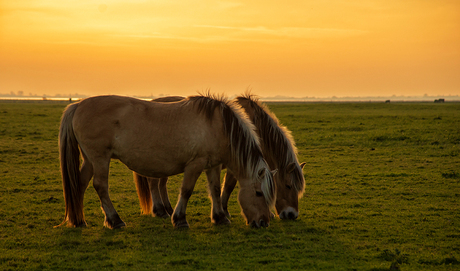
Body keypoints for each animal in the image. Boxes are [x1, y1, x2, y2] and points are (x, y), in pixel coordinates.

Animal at [57, 94, 274, 228]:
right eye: (258, 193)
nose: (263, 222)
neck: (217, 124)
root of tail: (78, 105)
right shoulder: (195, 164)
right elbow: (186, 191)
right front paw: (179, 219)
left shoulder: (212, 165)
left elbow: (214, 191)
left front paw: (219, 217)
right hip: (100, 158)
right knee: (100, 186)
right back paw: (114, 220)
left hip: (90, 160)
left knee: (80, 184)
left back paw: (78, 220)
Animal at [133, 93, 306, 223]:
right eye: (289, 186)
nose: (292, 215)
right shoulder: (237, 166)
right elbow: (228, 187)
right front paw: (224, 211)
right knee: (154, 183)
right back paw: (160, 210)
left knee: (161, 184)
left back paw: (168, 209)